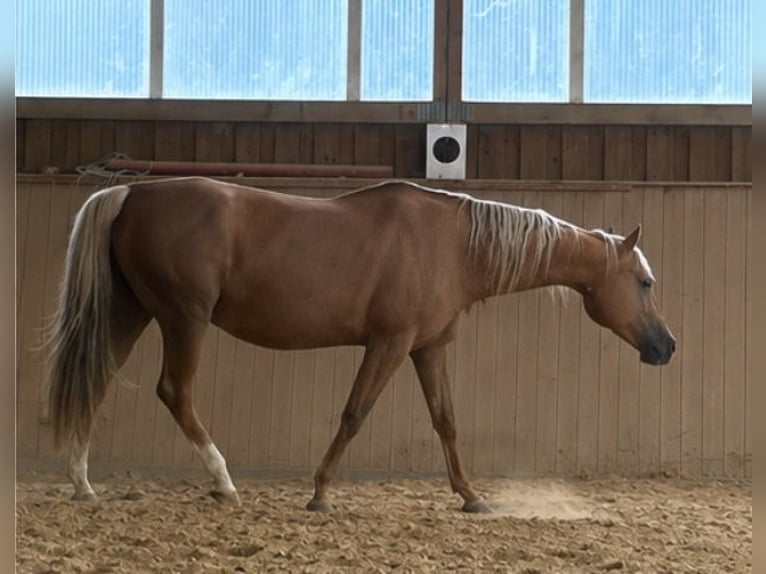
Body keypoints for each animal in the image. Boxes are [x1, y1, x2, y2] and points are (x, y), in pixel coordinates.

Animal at [46, 177, 676, 513]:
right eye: (645, 282)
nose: (666, 347)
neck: (455, 245)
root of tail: (132, 191)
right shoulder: (389, 344)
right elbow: (354, 414)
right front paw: (320, 493)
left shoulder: (428, 349)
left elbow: (446, 421)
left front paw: (470, 495)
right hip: (184, 319)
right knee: (176, 392)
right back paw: (223, 483)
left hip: (131, 313)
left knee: (95, 382)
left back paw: (83, 484)